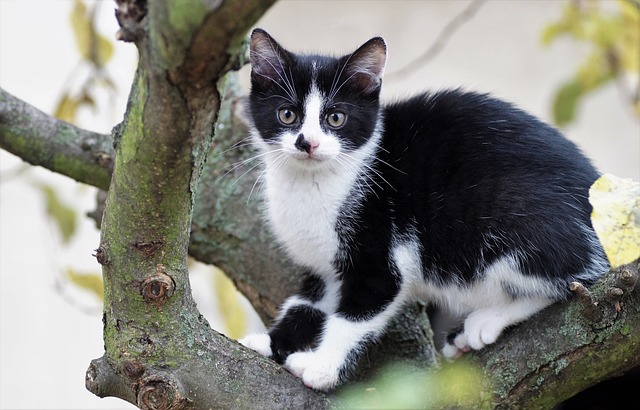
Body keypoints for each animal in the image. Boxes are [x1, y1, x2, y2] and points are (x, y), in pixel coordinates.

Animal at [239, 28, 604, 390]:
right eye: (287, 114)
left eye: (336, 118)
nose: (308, 143)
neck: (313, 182)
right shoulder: (325, 267)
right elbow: (305, 304)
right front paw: (271, 343)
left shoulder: (381, 251)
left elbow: (356, 314)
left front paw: (322, 369)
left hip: (514, 216)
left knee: (576, 278)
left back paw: (487, 320)